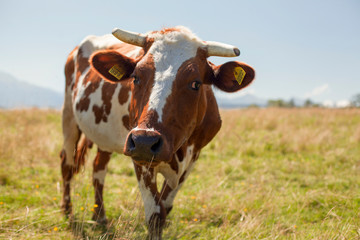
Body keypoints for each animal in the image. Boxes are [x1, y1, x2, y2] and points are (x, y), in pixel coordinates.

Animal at [60, 26, 255, 240]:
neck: (180, 150)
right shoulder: (140, 157)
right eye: (136, 77)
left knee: (98, 168)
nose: (145, 140)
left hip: (105, 136)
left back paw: (99, 216)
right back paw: (67, 211)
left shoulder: (192, 157)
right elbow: (155, 214)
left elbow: (165, 207)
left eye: (195, 83)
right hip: (69, 118)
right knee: (67, 164)